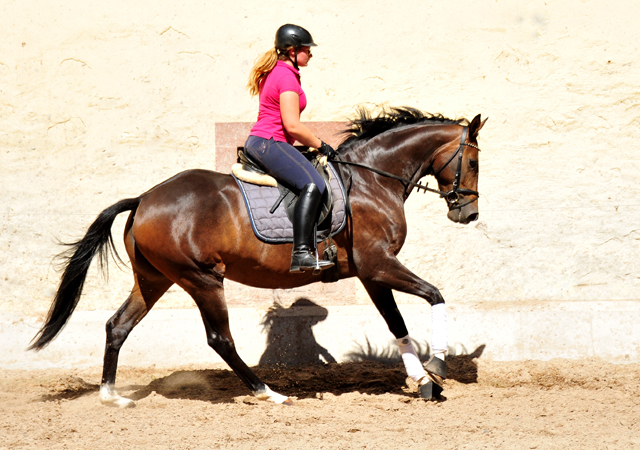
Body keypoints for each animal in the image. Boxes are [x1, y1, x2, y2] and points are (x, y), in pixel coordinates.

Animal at [30, 107, 484, 406]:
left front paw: (424, 380)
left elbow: (397, 324)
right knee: (220, 339)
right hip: (202, 278)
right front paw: (438, 364)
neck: (372, 180)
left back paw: (111, 396)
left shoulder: (370, 272)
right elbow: (435, 295)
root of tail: (143, 199)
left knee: (118, 326)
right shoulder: (379, 264)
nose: (468, 213)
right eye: (474, 162)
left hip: (155, 278)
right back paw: (270, 393)